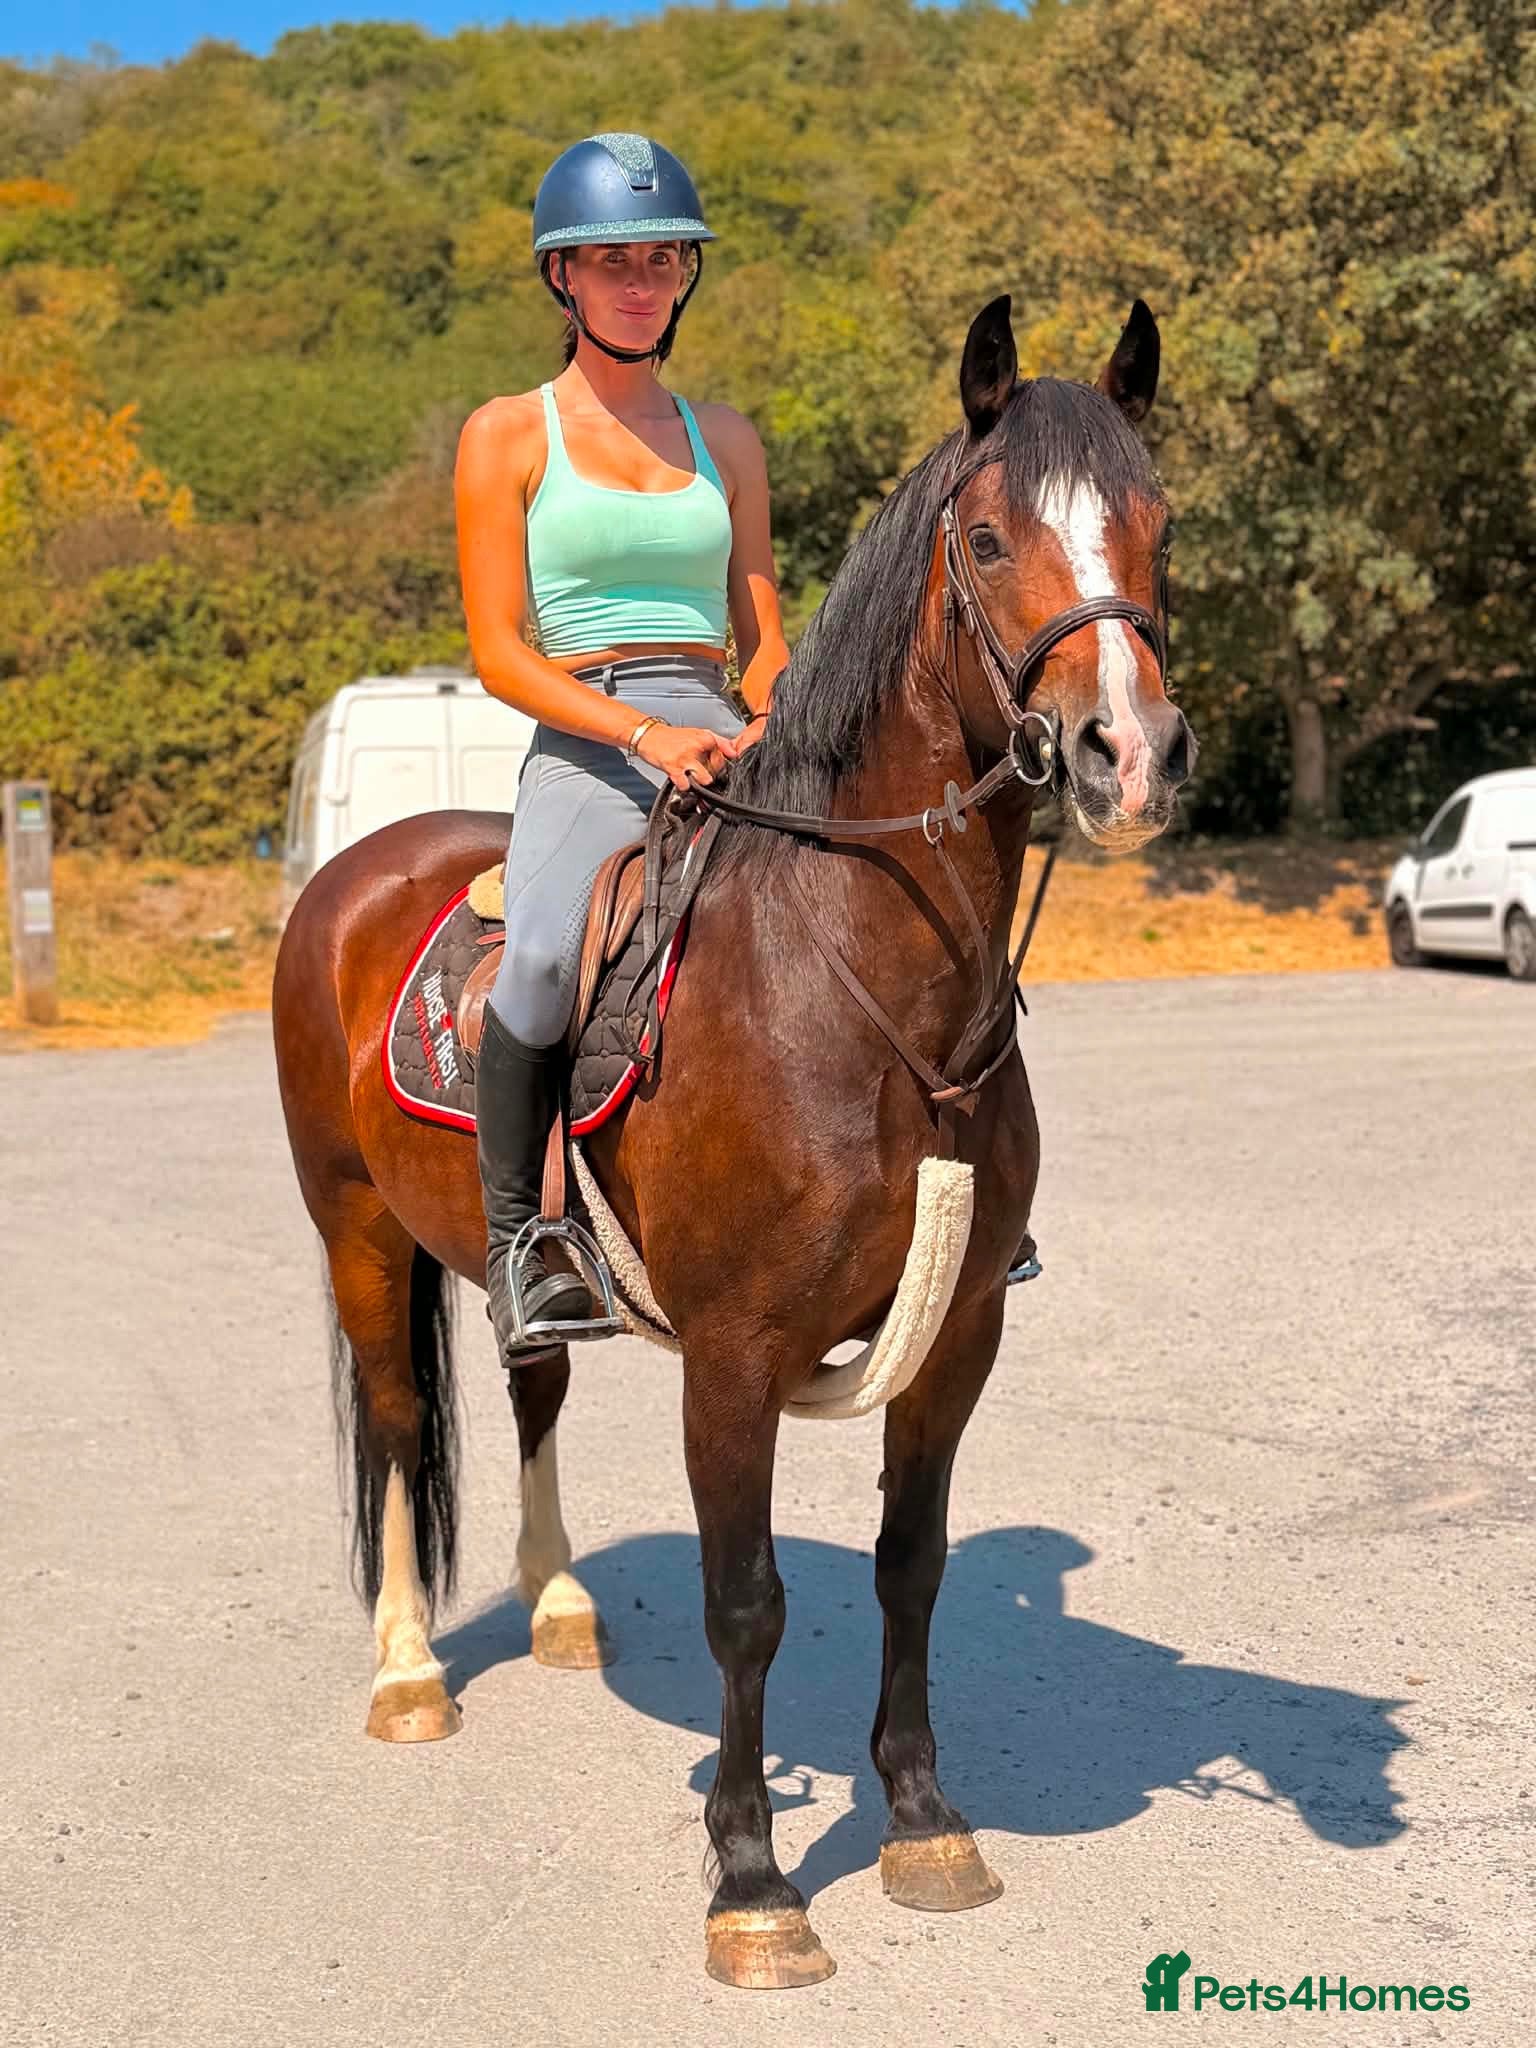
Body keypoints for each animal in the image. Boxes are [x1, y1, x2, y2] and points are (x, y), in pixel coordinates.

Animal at [271, 292, 1194, 1989]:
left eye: (1157, 523)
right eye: (984, 539)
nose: (1129, 756)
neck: (864, 989)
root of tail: (360, 872)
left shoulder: (958, 1338)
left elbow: (913, 1565)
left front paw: (921, 1821)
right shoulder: (737, 1353)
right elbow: (747, 1605)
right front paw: (755, 1882)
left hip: (509, 1266)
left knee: (532, 1381)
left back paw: (559, 1606)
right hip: (356, 1231)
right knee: (392, 1423)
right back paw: (408, 1675)